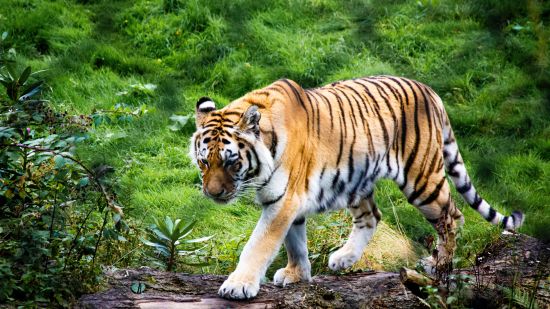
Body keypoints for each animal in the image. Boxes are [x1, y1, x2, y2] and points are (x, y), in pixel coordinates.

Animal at [191, 75, 528, 298]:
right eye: (204, 162)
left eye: (231, 162)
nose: (213, 194)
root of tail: (430, 90)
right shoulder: (287, 200)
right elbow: (294, 242)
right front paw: (297, 274)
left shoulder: (284, 199)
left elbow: (259, 243)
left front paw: (238, 284)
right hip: (355, 178)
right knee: (372, 216)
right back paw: (344, 258)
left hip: (422, 179)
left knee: (452, 215)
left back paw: (440, 265)